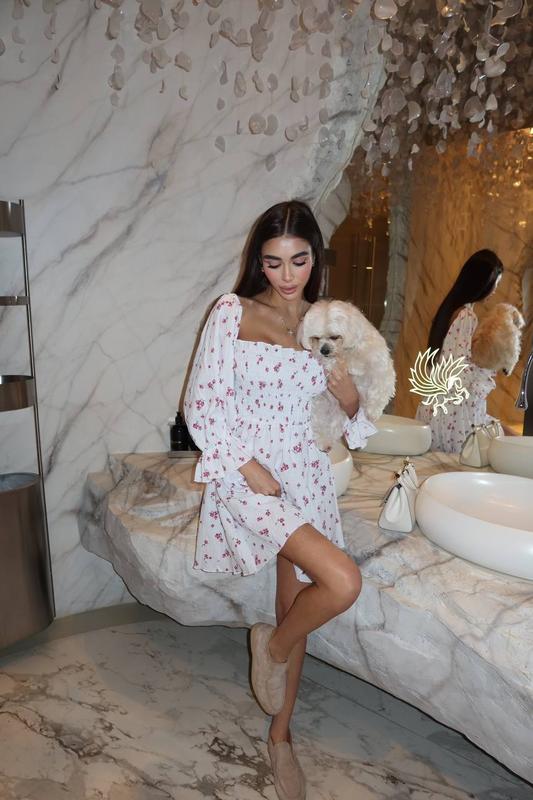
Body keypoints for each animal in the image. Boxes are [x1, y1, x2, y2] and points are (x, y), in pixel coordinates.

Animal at [297, 299, 396, 451]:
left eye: (334, 336)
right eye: (316, 338)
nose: (324, 350)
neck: (348, 352)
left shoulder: (380, 366)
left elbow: (380, 388)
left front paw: (372, 412)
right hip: (321, 404)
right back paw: (323, 440)